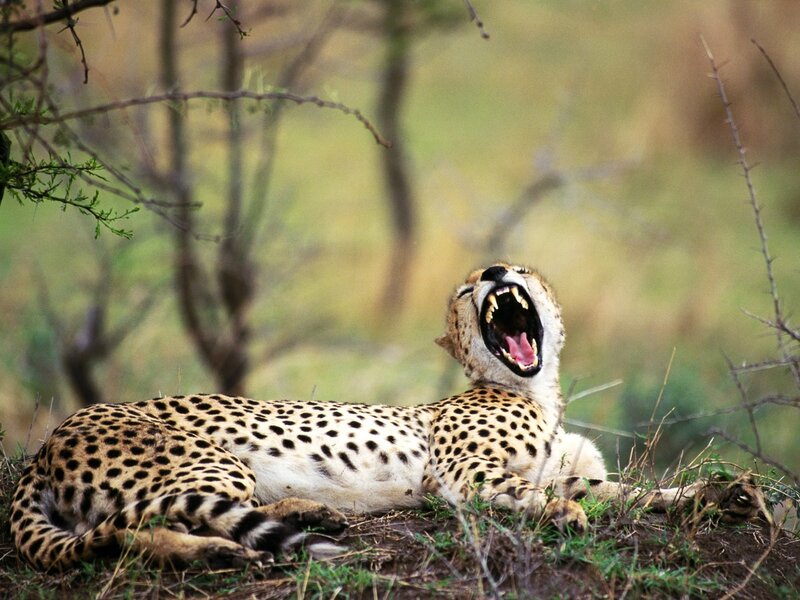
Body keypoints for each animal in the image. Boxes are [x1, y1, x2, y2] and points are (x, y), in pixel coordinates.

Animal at [10, 262, 767, 572]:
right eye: (466, 289)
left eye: (515, 267)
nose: (493, 272)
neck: (536, 390)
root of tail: (49, 440)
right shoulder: (460, 475)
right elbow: (534, 491)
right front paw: (558, 514)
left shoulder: (577, 473)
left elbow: (635, 493)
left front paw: (721, 494)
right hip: (206, 462)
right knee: (135, 528)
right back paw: (218, 551)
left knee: (125, 530)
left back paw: (308, 515)